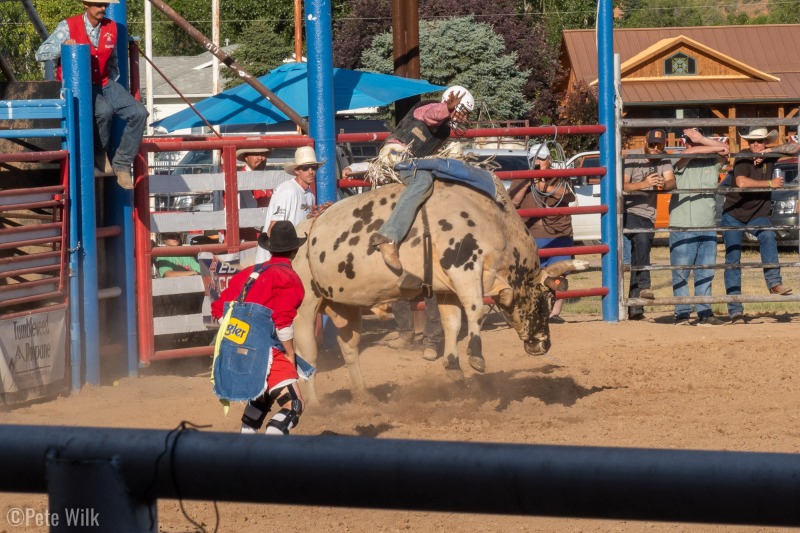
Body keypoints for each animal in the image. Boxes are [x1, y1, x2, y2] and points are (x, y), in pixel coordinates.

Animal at [294, 168, 588, 402]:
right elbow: (475, 309)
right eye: (545, 300)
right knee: (307, 355)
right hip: (305, 308)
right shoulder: (464, 269)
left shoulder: (449, 288)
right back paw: (316, 406)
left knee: (349, 348)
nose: (544, 345)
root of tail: (305, 227)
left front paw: (453, 367)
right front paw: (476, 357)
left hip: (345, 305)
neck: (494, 222)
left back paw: (364, 396)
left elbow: (453, 322)